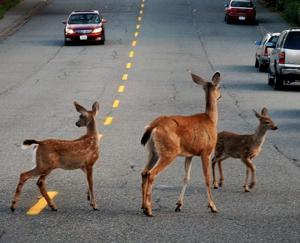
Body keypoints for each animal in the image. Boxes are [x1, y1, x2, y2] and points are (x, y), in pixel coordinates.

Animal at [139, 70, 221, 216]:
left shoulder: (190, 154)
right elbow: (207, 178)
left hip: (153, 151)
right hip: (169, 152)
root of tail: (153, 126)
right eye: (219, 87)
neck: (211, 119)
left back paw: (143, 207)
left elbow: (186, 177)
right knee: (151, 174)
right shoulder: (206, 151)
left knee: (144, 172)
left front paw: (179, 205)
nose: (220, 96)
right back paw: (149, 209)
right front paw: (212, 206)